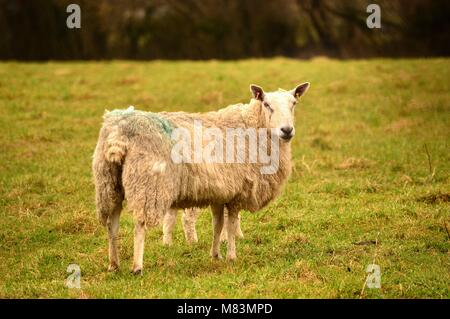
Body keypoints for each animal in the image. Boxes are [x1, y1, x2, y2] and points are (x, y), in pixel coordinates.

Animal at [91, 81, 310, 274]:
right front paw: (231, 256)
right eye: (266, 104)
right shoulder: (237, 192)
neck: (253, 127)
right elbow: (231, 225)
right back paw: (137, 267)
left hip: (108, 183)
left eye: (294, 103)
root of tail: (118, 134)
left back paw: (113, 264)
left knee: (112, 225)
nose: (287, 130)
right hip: (146, 184)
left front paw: (215, 255)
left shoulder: (220, 193)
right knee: (139, 225)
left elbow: (217, 225)